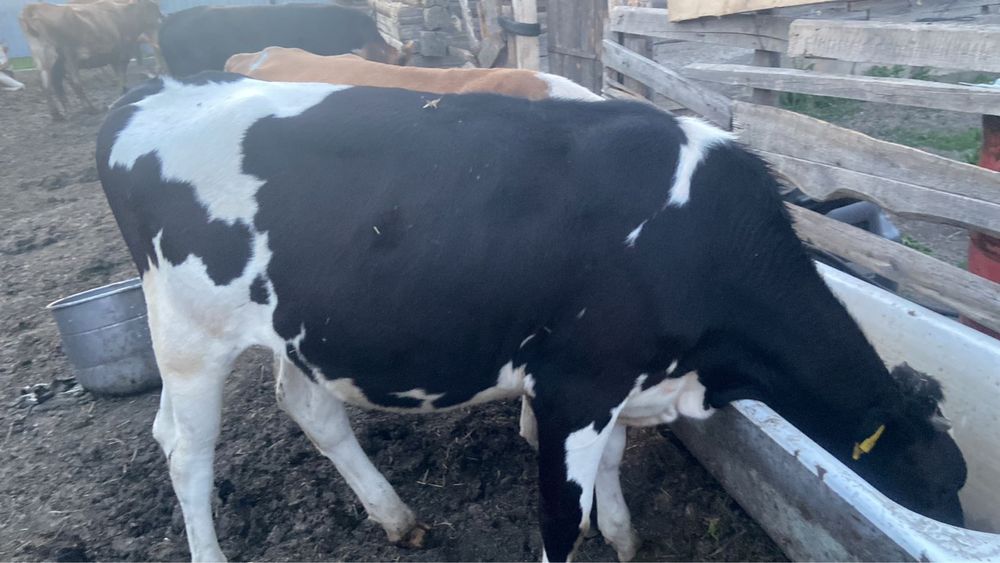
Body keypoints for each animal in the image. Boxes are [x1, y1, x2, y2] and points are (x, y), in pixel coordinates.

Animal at [18, 0, 162, 120]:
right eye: (154, 8)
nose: (163, 18)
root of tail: (33, 8)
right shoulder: (120, 55)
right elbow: (121, 78)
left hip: (44, 60)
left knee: (47, 86)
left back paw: (58, 114)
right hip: (68, 56)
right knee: (75, 83)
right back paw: (91, 109)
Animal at [97, 73, 966, 562]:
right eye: (942, 483)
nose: (963, 519)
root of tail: (149, 94)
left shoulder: (618, 382)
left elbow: (612, 466)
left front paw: (625, 535)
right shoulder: (574, 385)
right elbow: (559, 518)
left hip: (302, 325)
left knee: (309, 408)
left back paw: (398, 517)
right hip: (189, 334)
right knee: (184, 448)